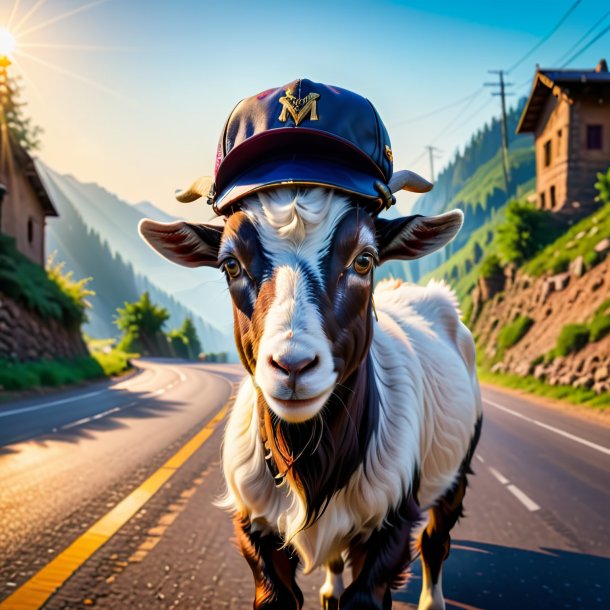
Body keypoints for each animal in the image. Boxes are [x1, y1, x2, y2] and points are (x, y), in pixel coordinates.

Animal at [140, 185, 482, 608]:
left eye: (364, 260)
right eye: (231, 265)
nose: (293, 365)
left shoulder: (392, 523)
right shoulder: (255, 525)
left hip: (459, 466)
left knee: (435, 539)